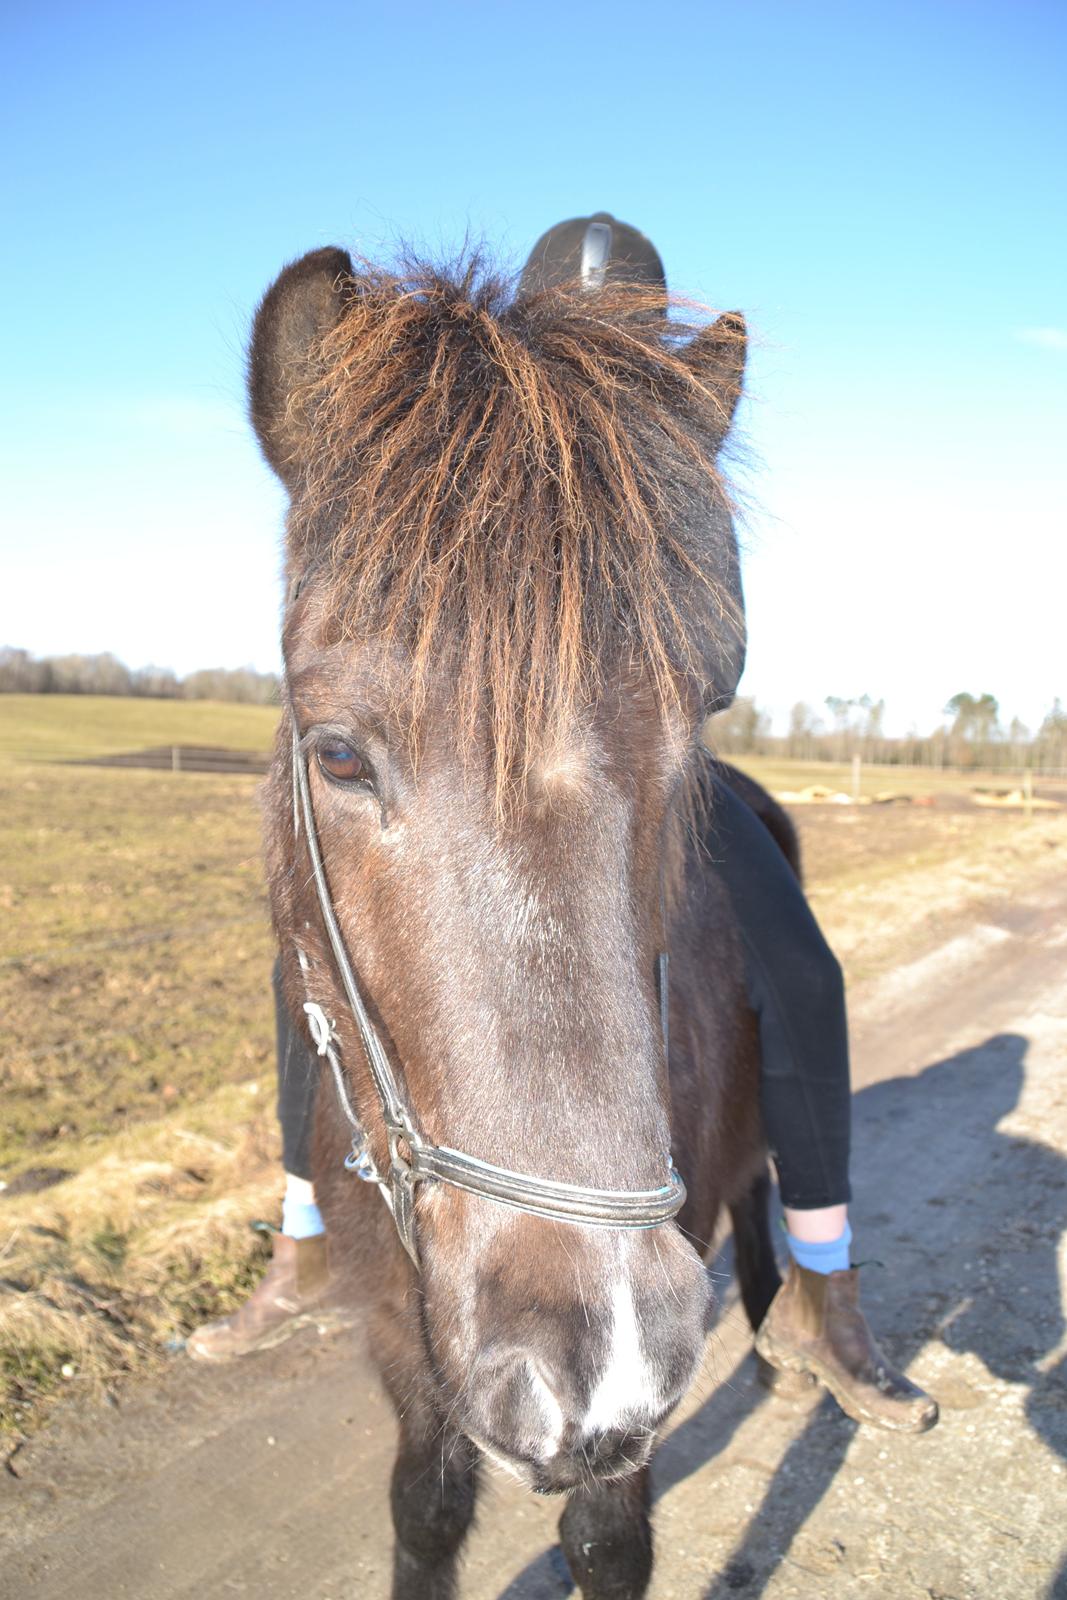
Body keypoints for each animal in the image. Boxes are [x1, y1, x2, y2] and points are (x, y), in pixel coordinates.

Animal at [254, 243, 793, 1593]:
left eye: (692, 733)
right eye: (336, 754)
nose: (593, 1350)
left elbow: (606, 1535)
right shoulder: (402, 1337)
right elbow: (425, 1503)